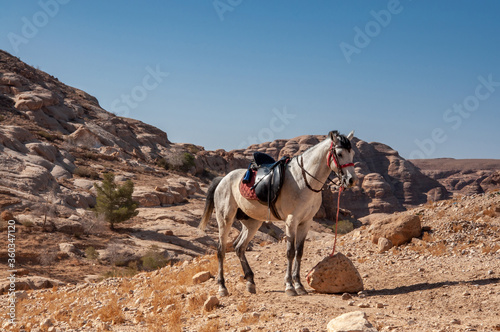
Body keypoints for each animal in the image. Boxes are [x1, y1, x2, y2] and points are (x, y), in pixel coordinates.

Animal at [197, 130, 358, 296]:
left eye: (352, 153)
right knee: (221, 250)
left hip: (252, 222)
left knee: (239, 247)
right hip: (225, 219)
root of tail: (222, 179)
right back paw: (222, 287)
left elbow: (299, 252)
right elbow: (290, 252)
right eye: (339, 154)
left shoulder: (306, 222)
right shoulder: (292, 220)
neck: (304, 180)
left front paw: (299, 285)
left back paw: (250, 282)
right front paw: (290, 286)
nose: (351, 180)